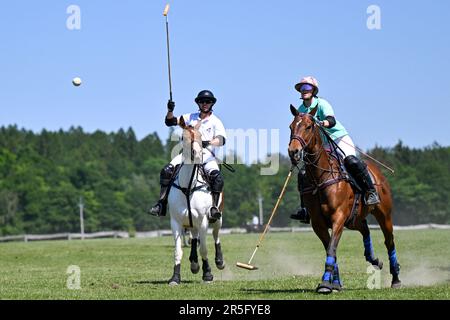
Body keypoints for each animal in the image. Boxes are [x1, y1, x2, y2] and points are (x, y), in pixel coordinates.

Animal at [167, 117, 225, 284]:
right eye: (183, 137)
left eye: (200, 137)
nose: (198, 154)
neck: (188, 187)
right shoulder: (176, 222)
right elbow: (178, 251)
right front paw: (175, 277)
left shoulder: (203, 220)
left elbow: (204, 248)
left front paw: (208, 274)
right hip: (190, 221)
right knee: (193, 237)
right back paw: (193, 263)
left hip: (218, 217)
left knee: (216, 236)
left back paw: (219, 261)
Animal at [288, 106, 400, 294]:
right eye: (291, 127)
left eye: (309, 126)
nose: (293, 152)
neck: (320, 177)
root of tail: (377, 172)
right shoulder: (318, 223)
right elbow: (330, 250)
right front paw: (334, 283)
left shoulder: (338, 217)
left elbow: (331, 249)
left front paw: (325, 284)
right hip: (354, 219)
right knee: (365, 230)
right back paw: (374, 259)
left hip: (384, 214)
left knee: (389, 241)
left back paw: (396, 279)